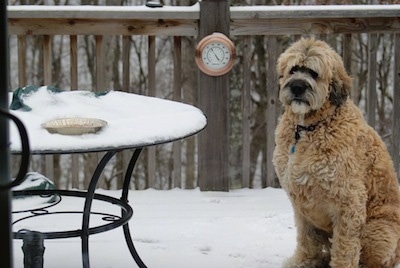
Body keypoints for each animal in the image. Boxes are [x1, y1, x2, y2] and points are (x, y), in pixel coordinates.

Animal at [274, 38, 400, 268]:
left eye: (314, 73)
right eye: (293, 69)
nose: (297, 87)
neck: (308, 128)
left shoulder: (348, 199)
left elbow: (345, 246)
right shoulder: (301, 205)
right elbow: (307, 238)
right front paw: (304, 261)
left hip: (378, 233)